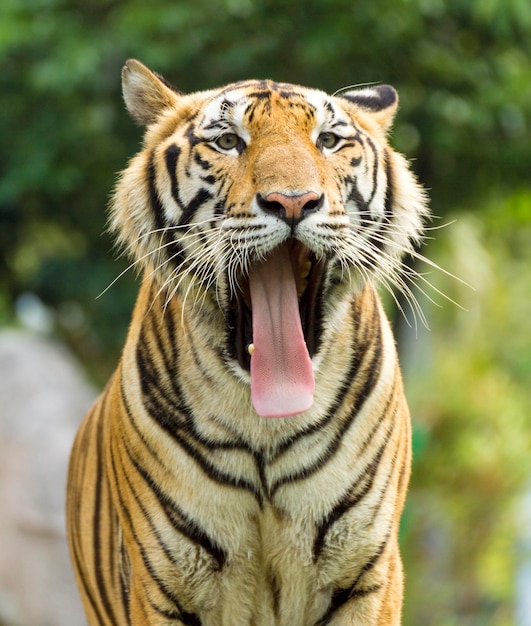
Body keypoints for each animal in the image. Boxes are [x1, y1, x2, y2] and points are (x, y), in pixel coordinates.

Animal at [66, 59, 430, 624]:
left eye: (327, 140)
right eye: (228, 141)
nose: (293, 202)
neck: (266, 423)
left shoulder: (365, 570)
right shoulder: (163, 581)